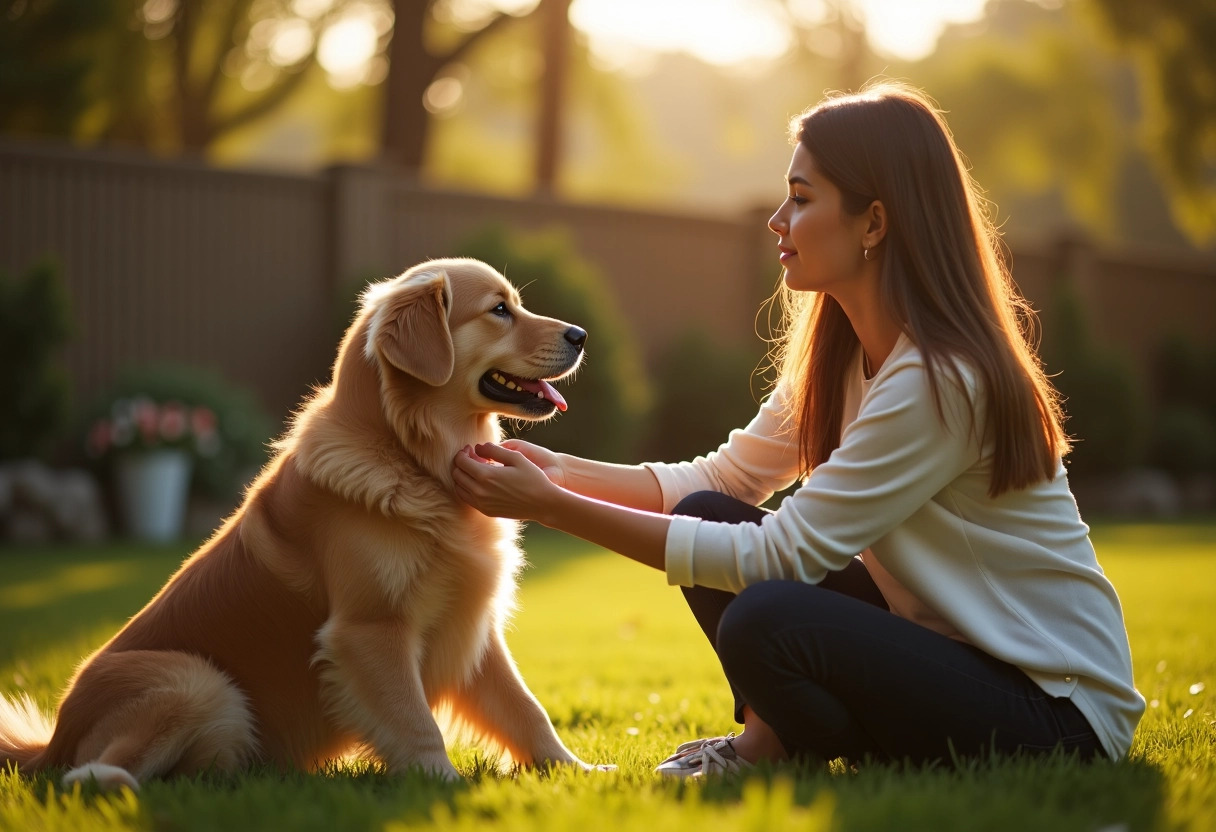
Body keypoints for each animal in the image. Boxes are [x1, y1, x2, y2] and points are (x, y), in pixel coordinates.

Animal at [0, 257, 590, 788]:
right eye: (499, 310)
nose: (581, 334)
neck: (411, 458)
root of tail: (51, 743)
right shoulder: (369, 629)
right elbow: (416, 722)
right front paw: (443, 784)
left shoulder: (472, 623)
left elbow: (525, 709)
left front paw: (576, 771)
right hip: (194, 680)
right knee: (86, 773)